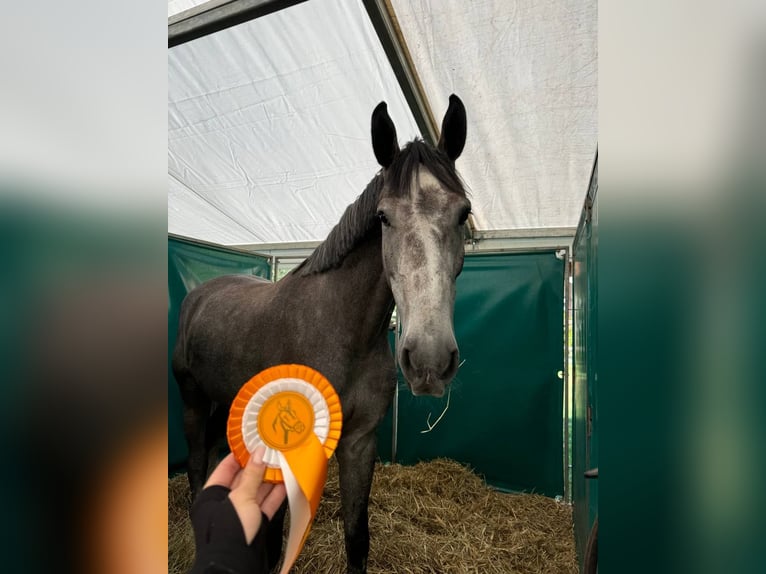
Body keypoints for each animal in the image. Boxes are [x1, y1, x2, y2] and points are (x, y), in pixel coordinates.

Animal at [174, 93, 472, 572]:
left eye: (463, 213)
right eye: (383, 217)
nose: (428, 360)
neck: (340, 330)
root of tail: (201, 292)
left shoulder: (359, 442)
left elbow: (356, 536)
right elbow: (274, 538)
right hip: (192, 402)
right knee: (197, 466)